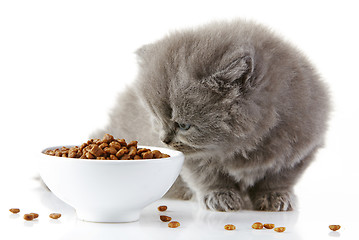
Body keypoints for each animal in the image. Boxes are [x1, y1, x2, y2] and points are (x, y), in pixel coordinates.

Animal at [93, 20, 332, 212]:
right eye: (156, 118)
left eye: (184, 125)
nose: (163, 140)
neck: (243, 148)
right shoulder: (195, 159)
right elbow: (208, 175)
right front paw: (219, 196)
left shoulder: (300, 150)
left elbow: (279, 177)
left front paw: (275, 196)